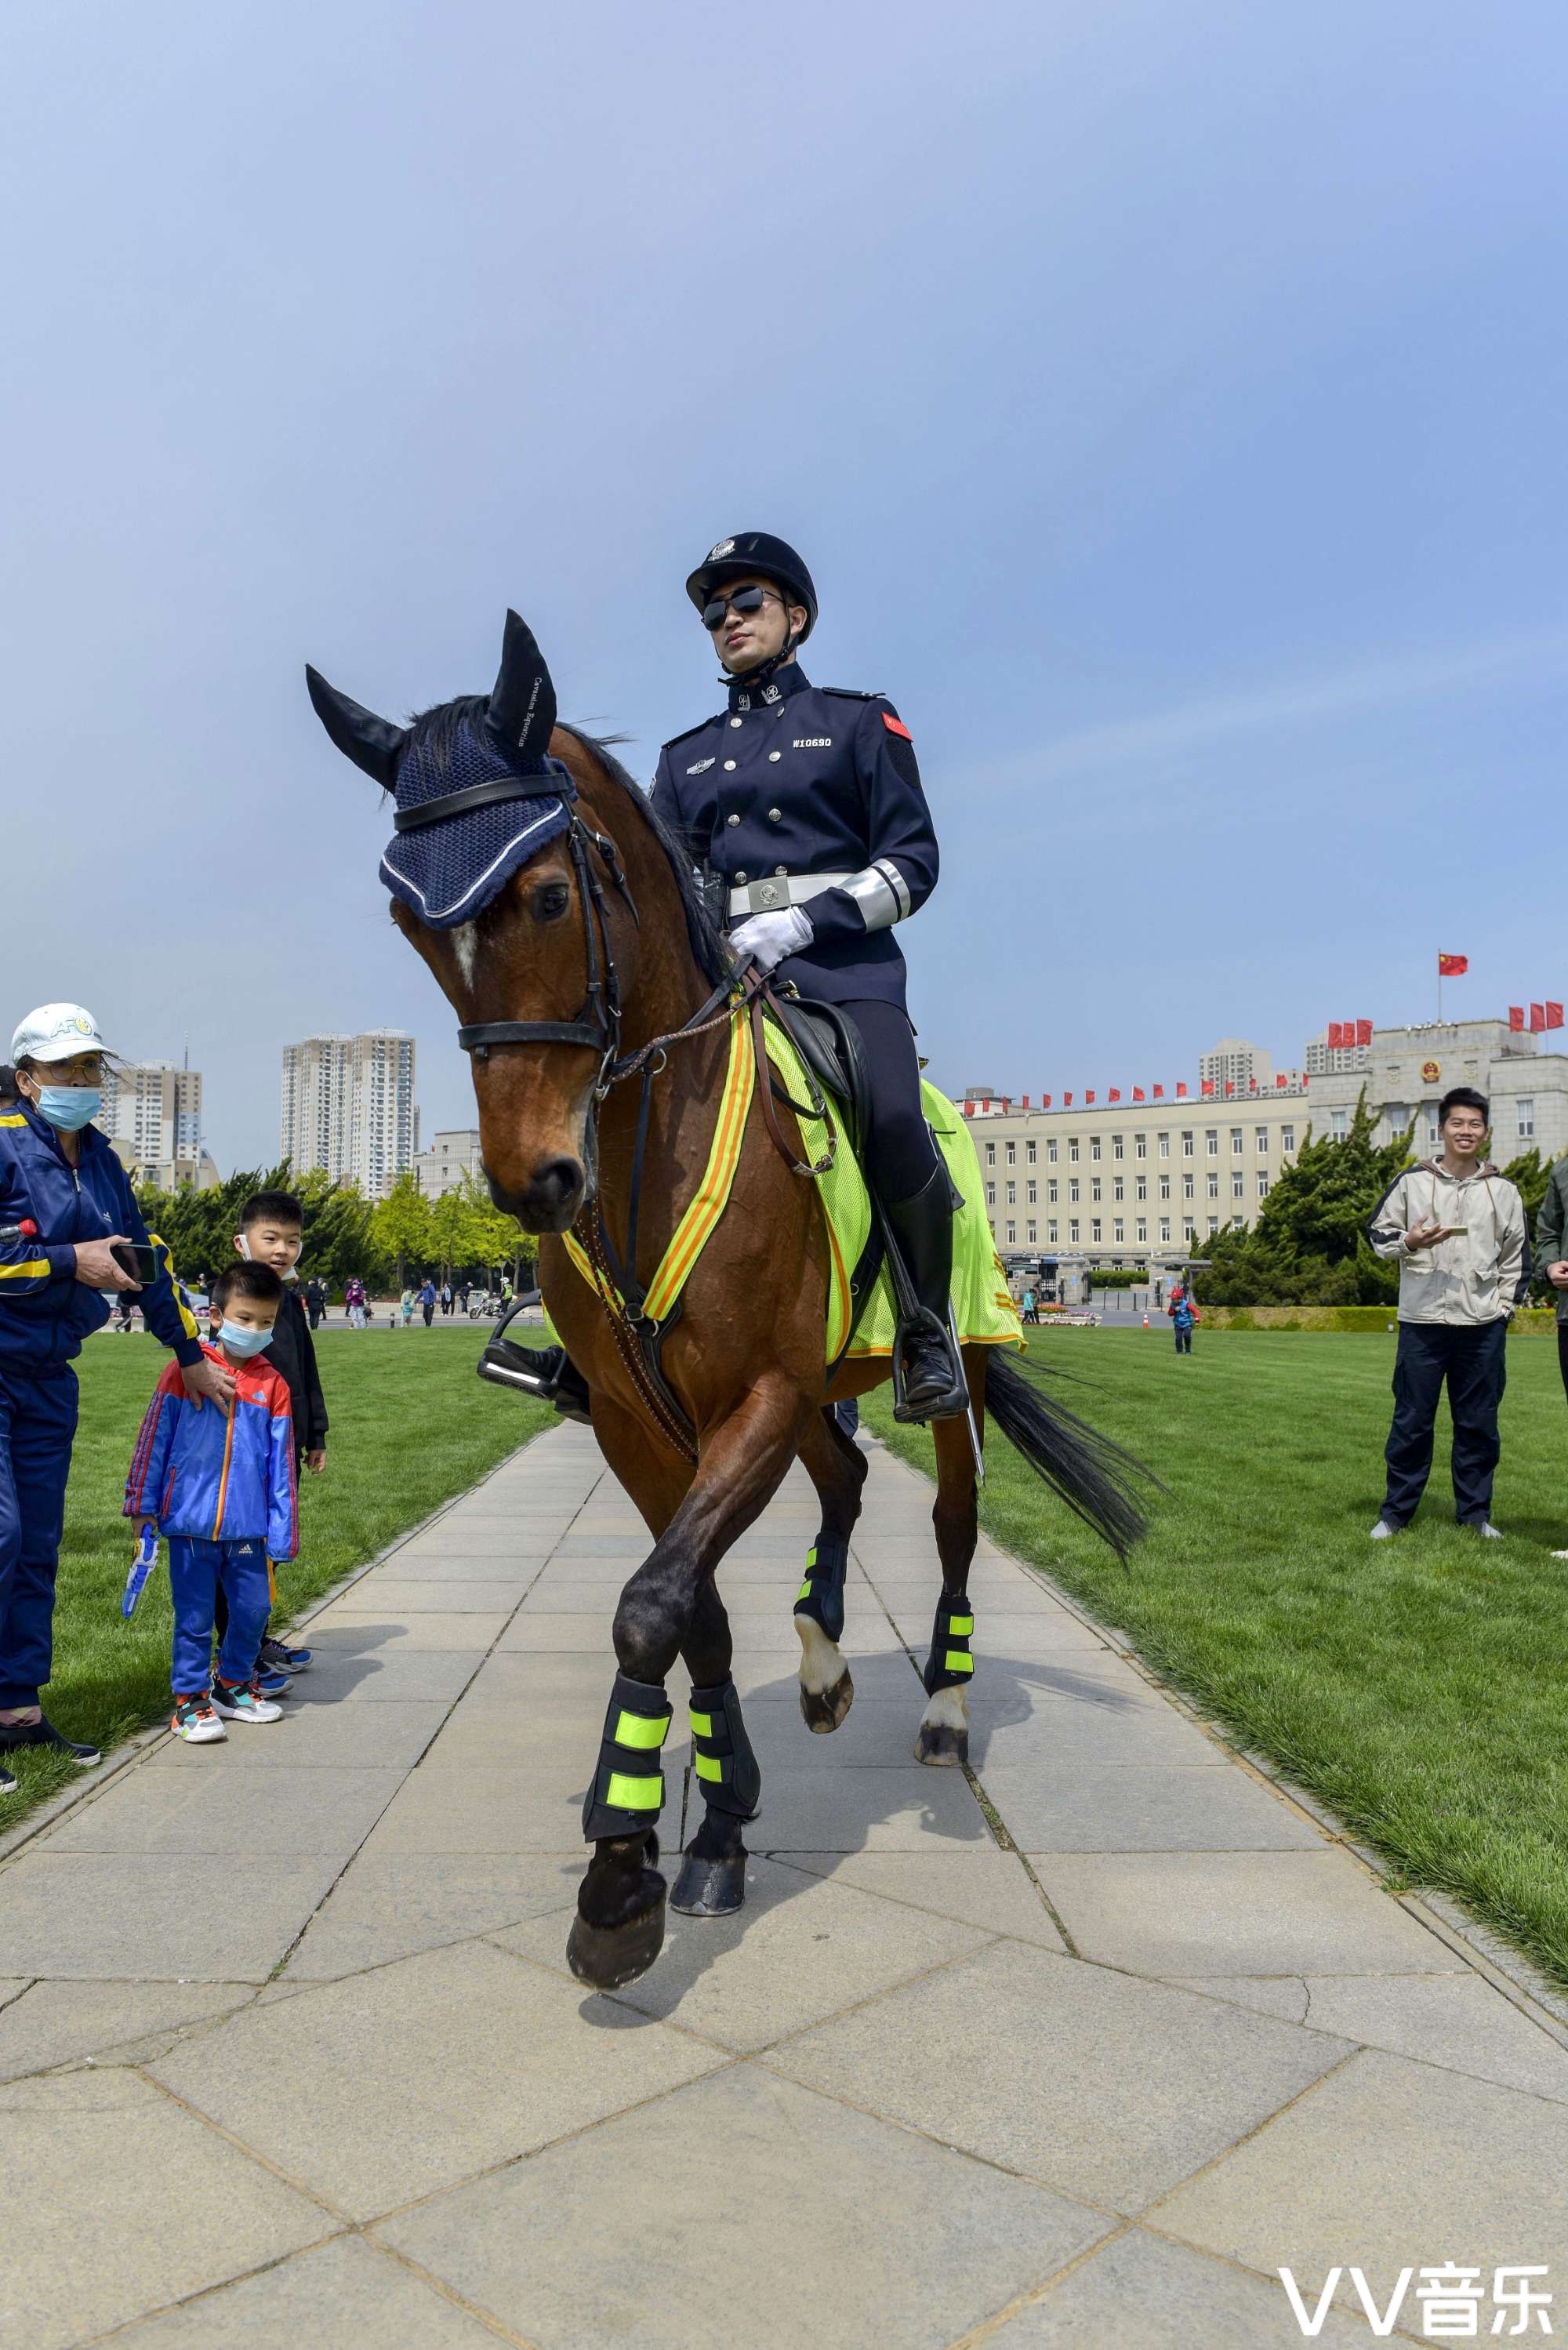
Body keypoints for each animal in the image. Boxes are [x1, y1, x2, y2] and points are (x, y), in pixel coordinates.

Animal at [305, 616, 1147, 1992]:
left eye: (548, 895)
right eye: (408, 921)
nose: (535, 1182)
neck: (653, 1126)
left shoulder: (752, 1396)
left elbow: (651, 1604)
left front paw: (620, 1872)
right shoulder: (643, 1422)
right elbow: (690, 1609)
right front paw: (709, 1821)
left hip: (944, 1377)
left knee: (953, 1526)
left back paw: (942, 1702)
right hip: (810, 1397)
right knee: (846, 1483)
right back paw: (819, 1656)